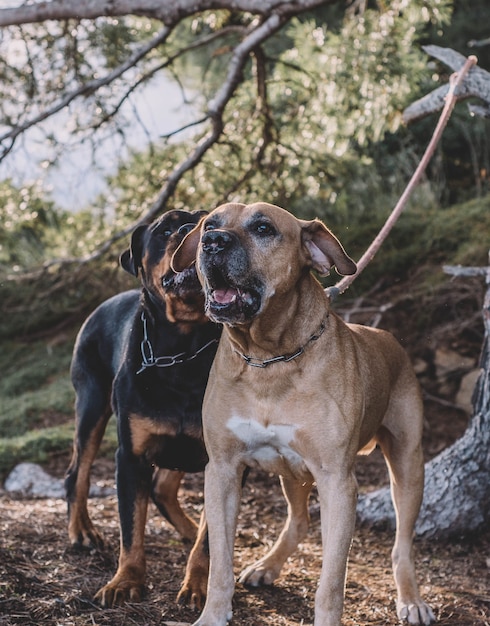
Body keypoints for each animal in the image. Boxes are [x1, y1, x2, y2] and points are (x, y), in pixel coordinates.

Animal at [64, 210, 221, 604]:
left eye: (211, 219)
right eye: (166, 229)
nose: (194, 230)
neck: (183, 351)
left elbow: (210, 539)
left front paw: (199, 583)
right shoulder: (130, 456)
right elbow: (131, 525)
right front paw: (126, 580)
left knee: (163, 489)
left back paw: (188, 529)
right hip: (91, 402)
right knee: (78, 472)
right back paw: (82, 532)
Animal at [173, 202, 436, 620]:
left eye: (263, 228)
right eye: (210, 223)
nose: (211, 242)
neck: (269, 359)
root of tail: (387, 337)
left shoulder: (337, 482)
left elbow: (330, 584)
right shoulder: (223, 471)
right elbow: (219, 564)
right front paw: (213, 615)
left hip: (408, 463)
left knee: (402, 544)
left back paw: (411, 598)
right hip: (292, 474)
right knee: (299, 520)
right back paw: (267, 566)